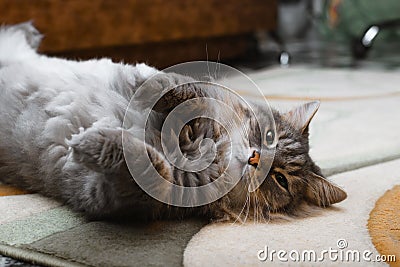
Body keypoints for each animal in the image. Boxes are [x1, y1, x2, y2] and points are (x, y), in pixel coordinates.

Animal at [0, 23, 346, 223]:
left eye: (281, 180)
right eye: (268, 137)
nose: (254, 158)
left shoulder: (116, 196)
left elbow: (151, 169)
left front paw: (89, 143)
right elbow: (180, 87)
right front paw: (145, 81)